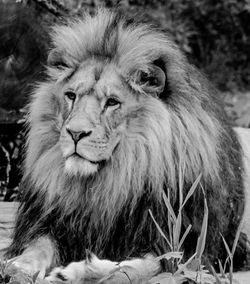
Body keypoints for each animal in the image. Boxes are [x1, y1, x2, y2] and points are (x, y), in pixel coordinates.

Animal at [4, 7, 250, 282]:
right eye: (71, 96)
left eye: (112, 102)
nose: (75, 133)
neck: (120, 176)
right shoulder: (53, 223)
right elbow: (38, 247)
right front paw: (18, 267)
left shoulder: (186, 249)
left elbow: (135, 267)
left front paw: (76, 272)